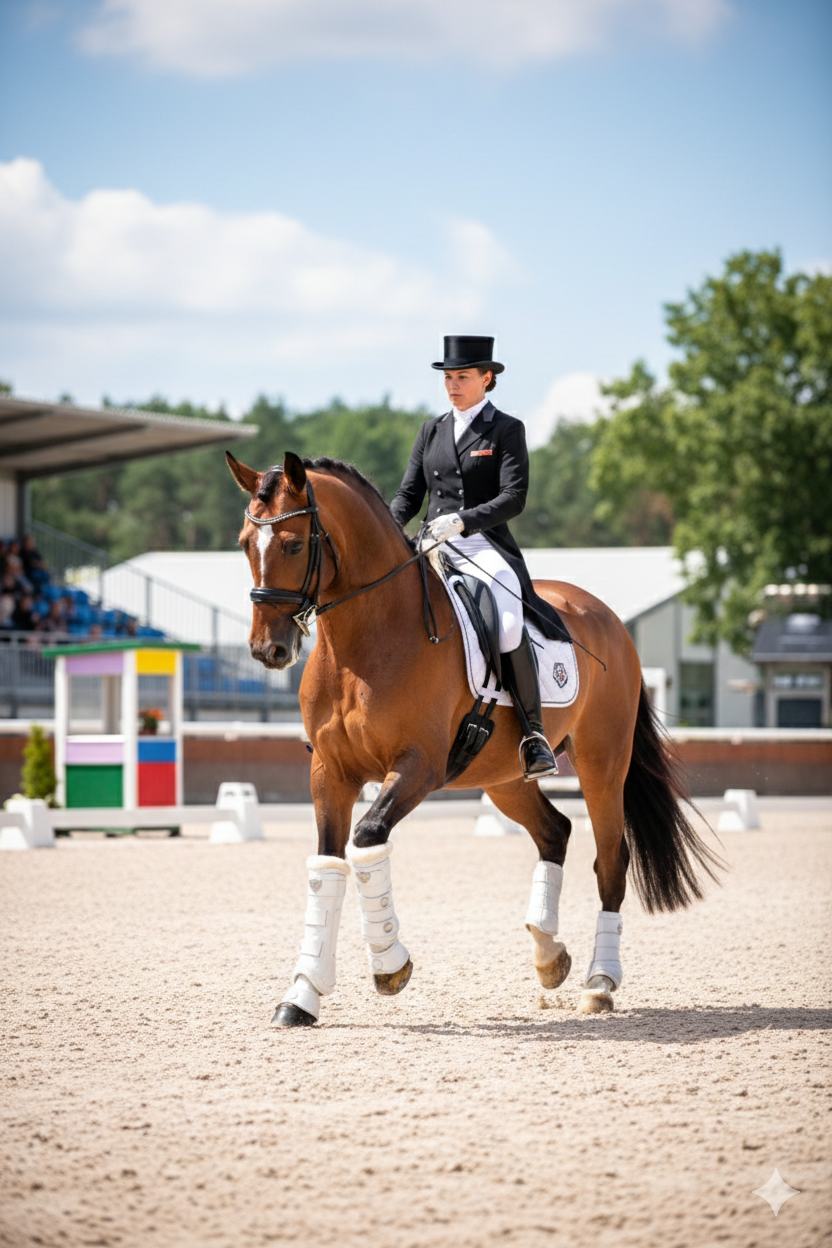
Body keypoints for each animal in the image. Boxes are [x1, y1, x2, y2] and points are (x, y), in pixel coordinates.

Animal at [227, 450, 720, 1027]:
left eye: (293, 544)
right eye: (244, 543)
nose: (268, 651)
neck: (365, 639)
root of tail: (607, 618)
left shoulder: (417, 766)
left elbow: (368, 838)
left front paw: (390, 965)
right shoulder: (330, 770)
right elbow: (327, 866)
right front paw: (301, 996)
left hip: (603, 766)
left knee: (611, 861)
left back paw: (599, 983)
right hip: (504, 776)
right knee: (554, 831)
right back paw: (548, 955)